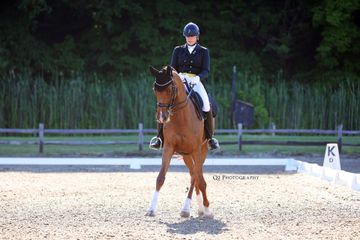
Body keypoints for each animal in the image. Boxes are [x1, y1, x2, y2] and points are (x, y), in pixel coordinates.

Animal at [146, 64, 214, 218]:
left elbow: (195, 178)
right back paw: (201, 208)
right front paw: (151, 209)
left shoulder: (196, 150)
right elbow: (160, 177)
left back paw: (206, 209)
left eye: (170, 89)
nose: (162, 117)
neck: (181, 117)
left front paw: (186, 209)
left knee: (199, 177)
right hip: (186, 155)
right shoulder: (169, 148)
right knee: (196, 175)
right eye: (154, 89)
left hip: (202, 150)